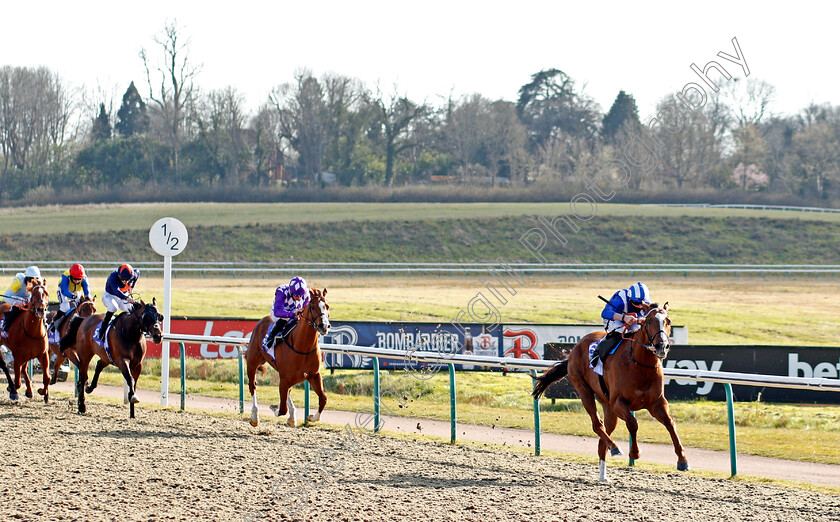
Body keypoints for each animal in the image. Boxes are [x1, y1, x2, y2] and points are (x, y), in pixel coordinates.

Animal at [246, 288, 328, 426]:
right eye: (312, 307)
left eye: (327, 306)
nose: (324, 326)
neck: (303, 347)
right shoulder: (284, 378)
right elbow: (282, 409)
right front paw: (274, 407)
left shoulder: (313, 375)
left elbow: (323, 399)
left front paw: (311, 417)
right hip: (252, 362)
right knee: (253, 385)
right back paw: (254, 416)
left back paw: (292, 417)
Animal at [536, 300, 684, 480]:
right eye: (649, 321)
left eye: (668, 321)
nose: (661, 346)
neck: (639, 364)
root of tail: (574, 349)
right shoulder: (618, 402)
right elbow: (633, 423)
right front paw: (635, 453)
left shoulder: (657, 403)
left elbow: (670, 423)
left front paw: (682, 460)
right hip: (584, 391)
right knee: (597, 425)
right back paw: (614, 447)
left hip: (607, 406)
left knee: (604, 436)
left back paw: (603, 474)